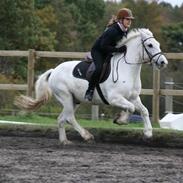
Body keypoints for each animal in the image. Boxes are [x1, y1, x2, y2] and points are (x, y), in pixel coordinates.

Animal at [15, 28, 168, 144]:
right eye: (150, 45)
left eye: (158, 44)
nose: (163, 62)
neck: (127, 69)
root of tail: (54, 71)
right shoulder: (115, 98)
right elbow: (130, 108)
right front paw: (121, 120)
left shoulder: (133, 97)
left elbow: (143, 110)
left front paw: (148, 133)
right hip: (66, 97)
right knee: (69, 118)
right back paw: (86, 136)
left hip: (74, 100)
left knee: (62, 119)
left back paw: (65, 141)